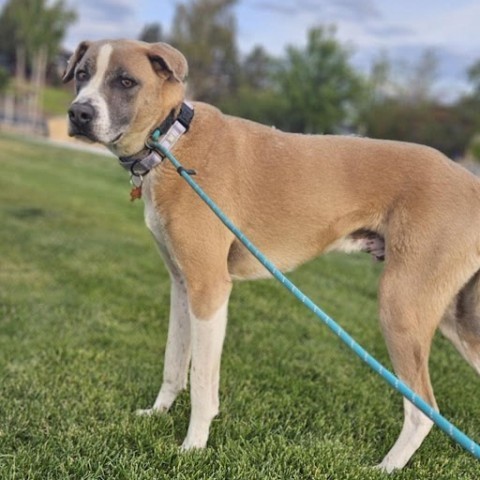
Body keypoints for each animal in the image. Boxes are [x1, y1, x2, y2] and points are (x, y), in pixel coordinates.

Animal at [62, 39, 480, 470]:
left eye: (126, 81)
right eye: (82, 74)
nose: (78, 114)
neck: (172, 141)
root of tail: (471, 182)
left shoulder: (210, 290)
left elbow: (202, 384)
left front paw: (193, 446)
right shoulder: (182, 286)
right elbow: (174, 364)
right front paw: (158, 413)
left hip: (401, 308)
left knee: (422, 410)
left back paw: (386, 467)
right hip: (459, 321)